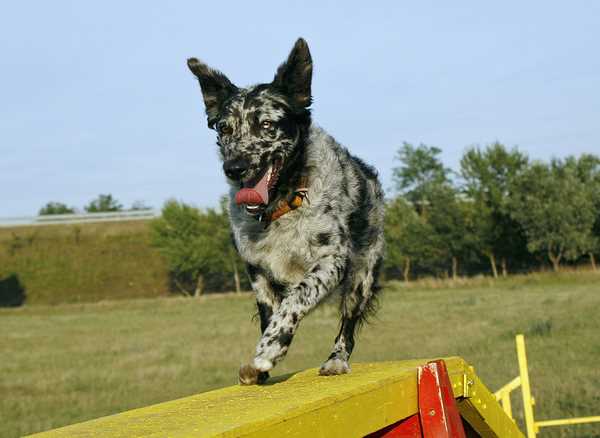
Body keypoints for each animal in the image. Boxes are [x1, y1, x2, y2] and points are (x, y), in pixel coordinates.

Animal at [186, 39, 384, 384]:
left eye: (266, 124)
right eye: (225, 128)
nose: (234, 168)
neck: (281, 205)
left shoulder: (331, 261)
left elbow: (297, 297)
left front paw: (270, 349)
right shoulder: (257, 270)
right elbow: (270, 312)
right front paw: (261, 364)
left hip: (361, 276)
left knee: (348, 324)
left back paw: (336, 360)